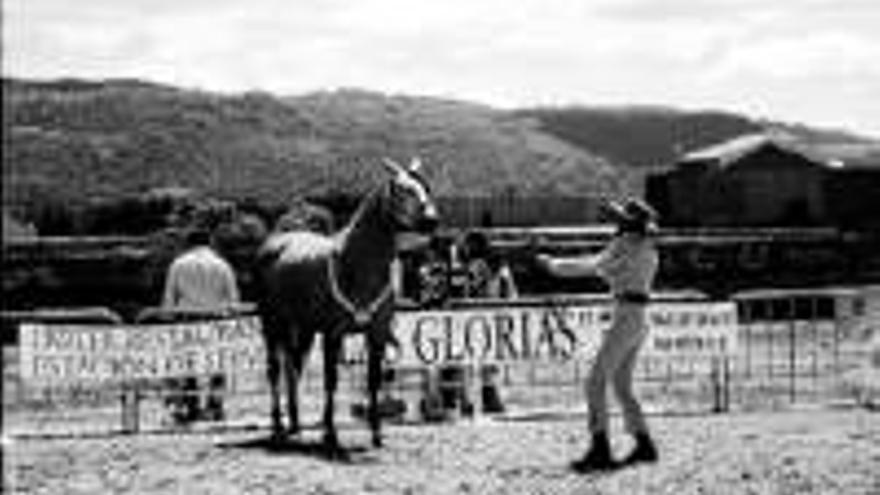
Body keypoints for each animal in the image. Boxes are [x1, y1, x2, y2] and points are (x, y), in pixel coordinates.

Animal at [253, 157, 438, 452]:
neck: (356, 265)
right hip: (271, 324)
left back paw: (295, 424)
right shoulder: (333, 334)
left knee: (293, 368)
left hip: (301, 329)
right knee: (274, 370)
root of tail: (273, 245)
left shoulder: (377, 334)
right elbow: (331, 380)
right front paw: (330, 433)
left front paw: (376, 433)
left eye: (426, 187)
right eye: (401, 190)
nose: (431, 220)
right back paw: (278, 427)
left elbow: (373, 380)